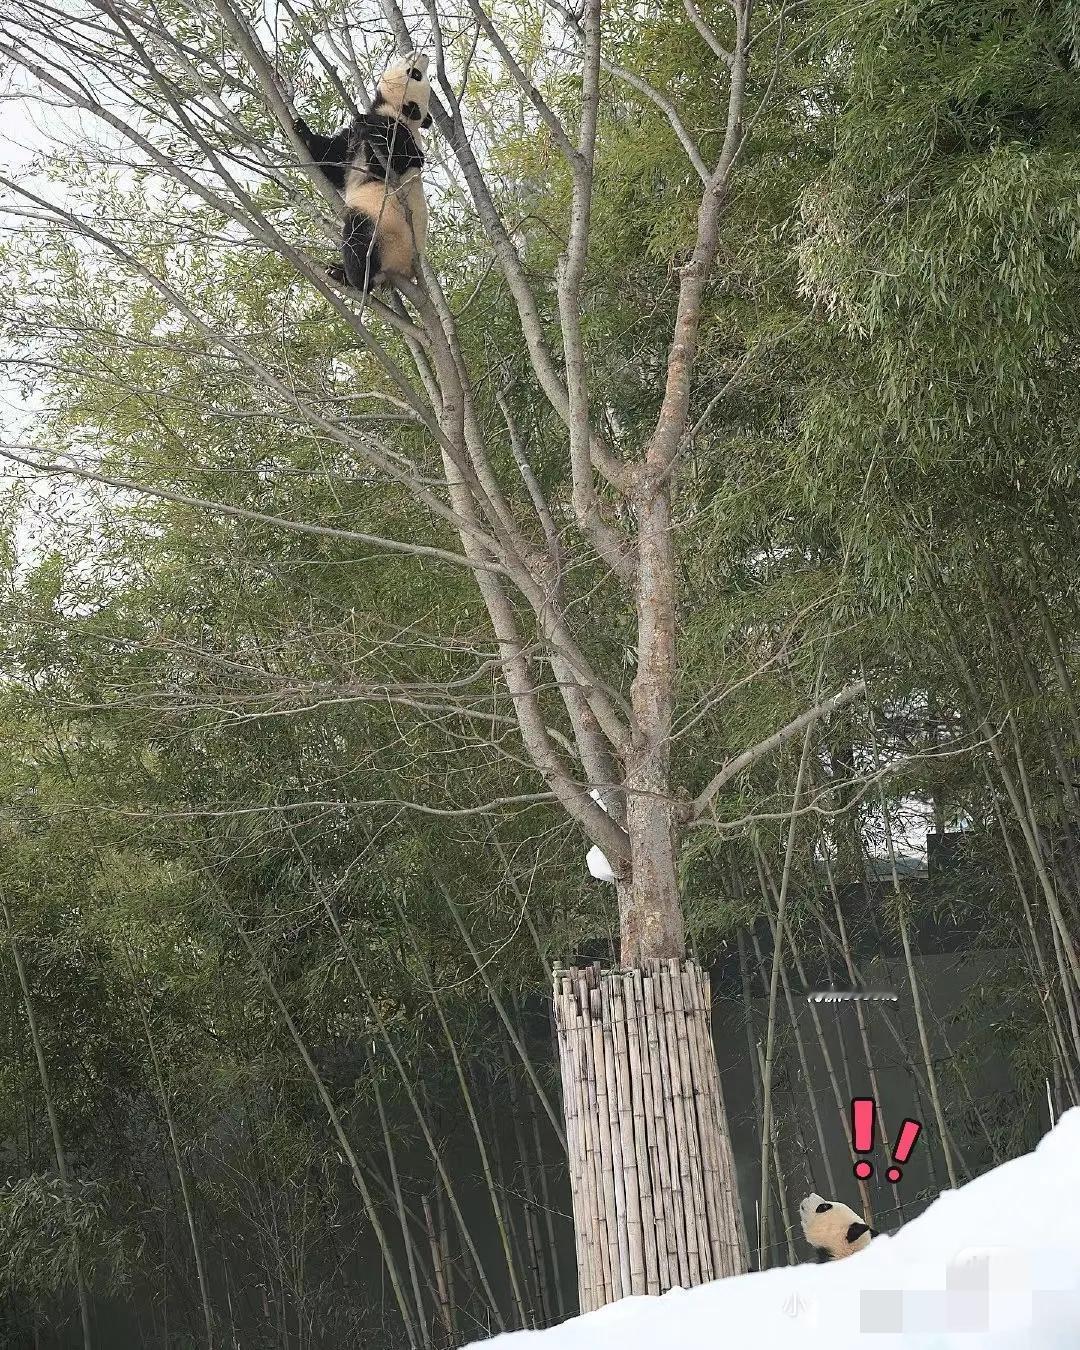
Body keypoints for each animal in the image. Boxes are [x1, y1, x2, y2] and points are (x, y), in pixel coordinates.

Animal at [295, 55, 434, 295]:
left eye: (415, 75)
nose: (423, 56)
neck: (392, 110)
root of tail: (402, 272)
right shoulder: (351, 139)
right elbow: (334, 161)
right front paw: (303, 130)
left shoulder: (401, 135)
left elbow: (391, 162)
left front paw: (369, 126)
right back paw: (338, 271)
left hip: (386, 230)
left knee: (359, 237)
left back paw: (355, 278)